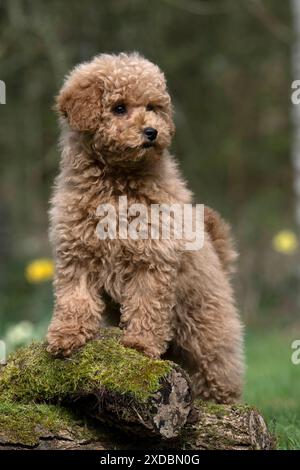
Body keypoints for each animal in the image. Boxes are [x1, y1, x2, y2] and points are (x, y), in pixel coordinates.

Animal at [47, 52, 244, 404]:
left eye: (153, 106)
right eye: (119, 108)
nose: (151, 131)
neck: (117, 182)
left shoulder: (151, 258)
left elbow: (146, 303)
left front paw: (140, 345)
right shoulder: (77, 255)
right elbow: (74, 299)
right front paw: (66, 336)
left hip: (206, 325)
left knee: (219, 366)